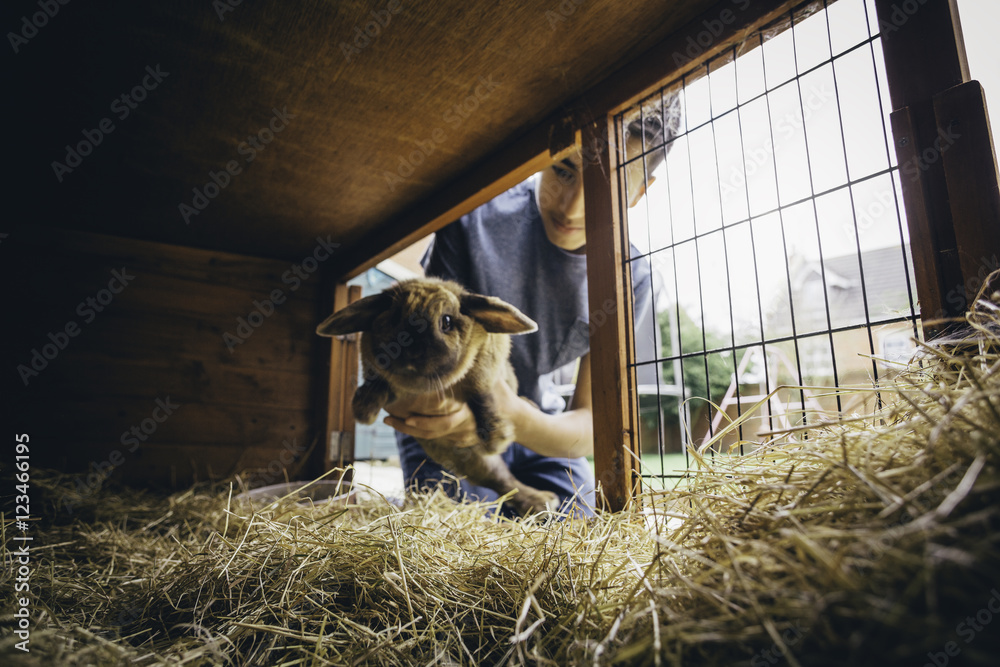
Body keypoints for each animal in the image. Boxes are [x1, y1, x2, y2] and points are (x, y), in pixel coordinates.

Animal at [316, 277, 560, 516]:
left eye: (447, 321)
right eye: (394, 318)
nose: (411, 352)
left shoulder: (486, 365)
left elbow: (481, 393)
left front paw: (496, 436)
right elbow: (377, 382)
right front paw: (364, 408)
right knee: (503, 482)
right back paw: (543, 503)